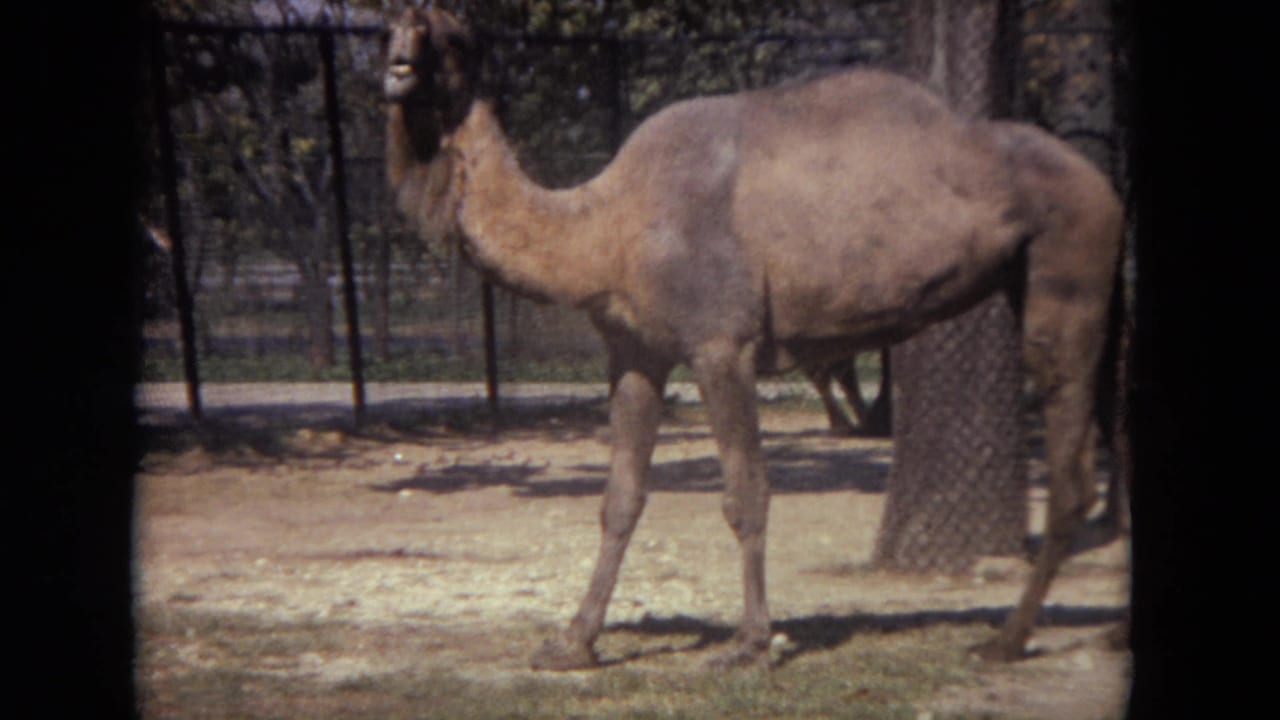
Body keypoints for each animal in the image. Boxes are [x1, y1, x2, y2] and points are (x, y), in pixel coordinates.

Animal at [383, 7, 1123, 670]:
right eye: (391, 23)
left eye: (451, 36)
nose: (396, 66)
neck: (604, 228)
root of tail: (1107, 190)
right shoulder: (635, 354)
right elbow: (620, 499)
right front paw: (572, 644)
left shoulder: (721, 344)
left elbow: (747, 495)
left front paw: (750, 645)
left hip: (1068, 267)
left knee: (1069, 473)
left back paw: (1005, 641)